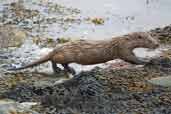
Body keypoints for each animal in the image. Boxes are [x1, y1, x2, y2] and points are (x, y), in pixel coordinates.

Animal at [8, 31, 159, 74]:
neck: (123, 40)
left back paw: (70, 70)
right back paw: (58, 70)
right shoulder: (122, 49)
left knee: (61, 62)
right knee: (54, 60)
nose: (157, 44)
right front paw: (147, 61)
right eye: (150, 40)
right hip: (66, 54)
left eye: (153, 37)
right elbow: (131, 58)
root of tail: (57, 48)